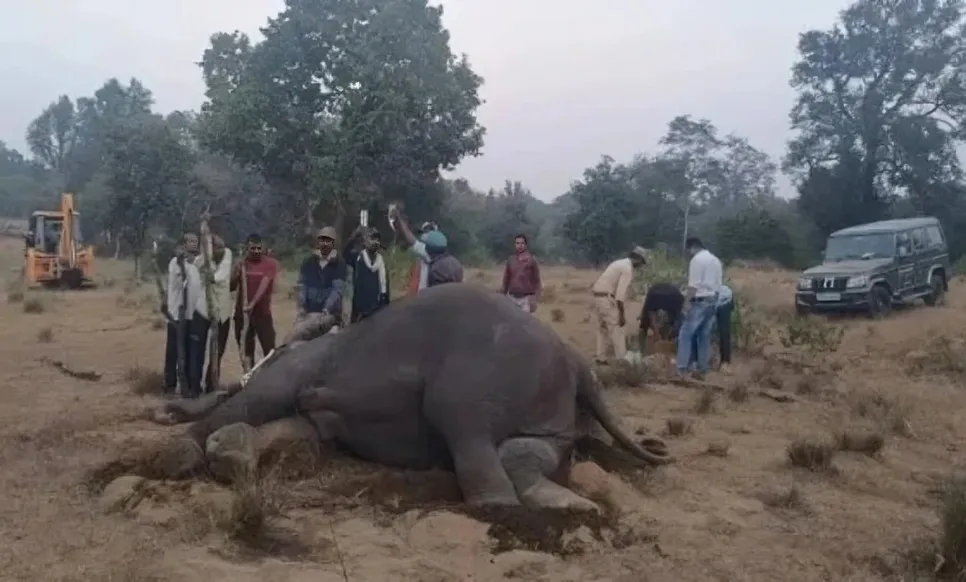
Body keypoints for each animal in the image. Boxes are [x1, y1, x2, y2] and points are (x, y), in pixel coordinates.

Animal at [158, 284, 671, 511]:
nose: (166, 409)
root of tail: (576, 359)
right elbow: (297, 426)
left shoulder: (299, 364)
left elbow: (264, 399)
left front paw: (184, 452)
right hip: (546, 405)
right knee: (527, 449)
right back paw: (575, 507)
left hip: (474, 379)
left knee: (466, 432)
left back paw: (502, 507)